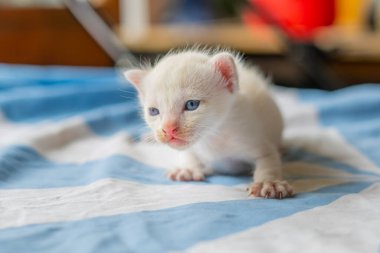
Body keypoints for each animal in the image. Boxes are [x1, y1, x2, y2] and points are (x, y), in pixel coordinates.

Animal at [124, 48, 294, 199]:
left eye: (192, 104)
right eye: (153, 111)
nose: (168, 129)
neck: (212, 136)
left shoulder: (252, 135)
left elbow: (268, 159)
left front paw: (269, 183)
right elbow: (188, 153)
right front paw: (187, 169)